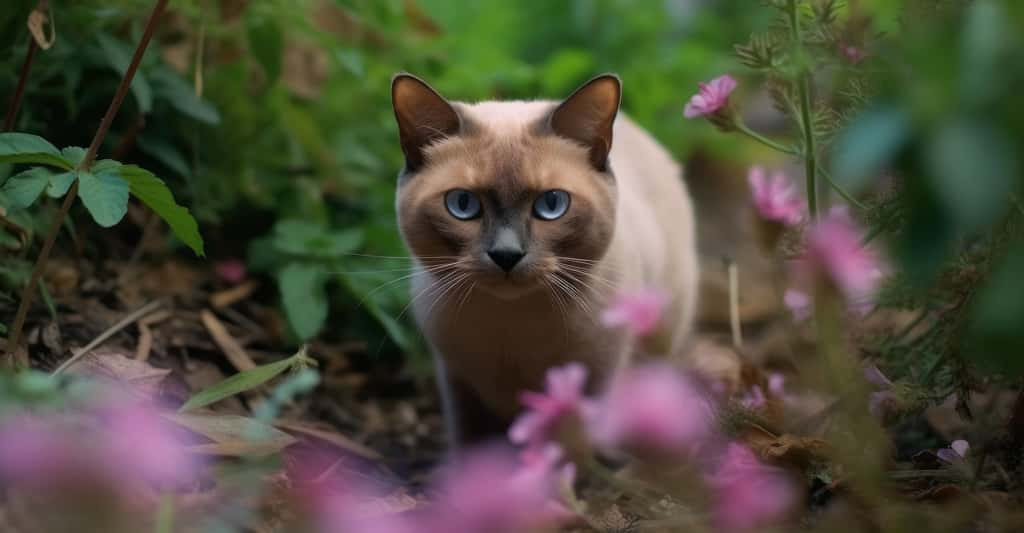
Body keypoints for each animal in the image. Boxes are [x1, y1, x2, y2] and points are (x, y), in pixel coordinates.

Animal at [387, 72, 700, 448]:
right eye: (462, 204)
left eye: (551, 205)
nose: (506, 254)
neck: (512, 325)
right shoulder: (459, 383)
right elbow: (470, 445)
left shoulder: (592, 381)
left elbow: (574, 451)